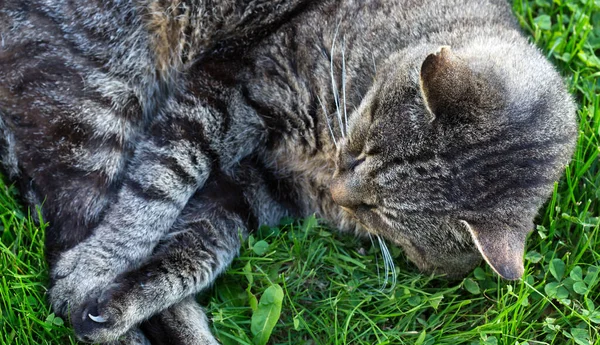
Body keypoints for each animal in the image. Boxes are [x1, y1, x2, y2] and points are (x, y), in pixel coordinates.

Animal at [1, 0, 576, 342]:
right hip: (98, 97)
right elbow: (158, 189)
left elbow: (185, 257)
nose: (339, 191)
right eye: (360, 147)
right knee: (74, 221)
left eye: (377, 214)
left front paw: (124, 302)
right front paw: (97, 271)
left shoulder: (247, 188)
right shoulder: (235, 83)